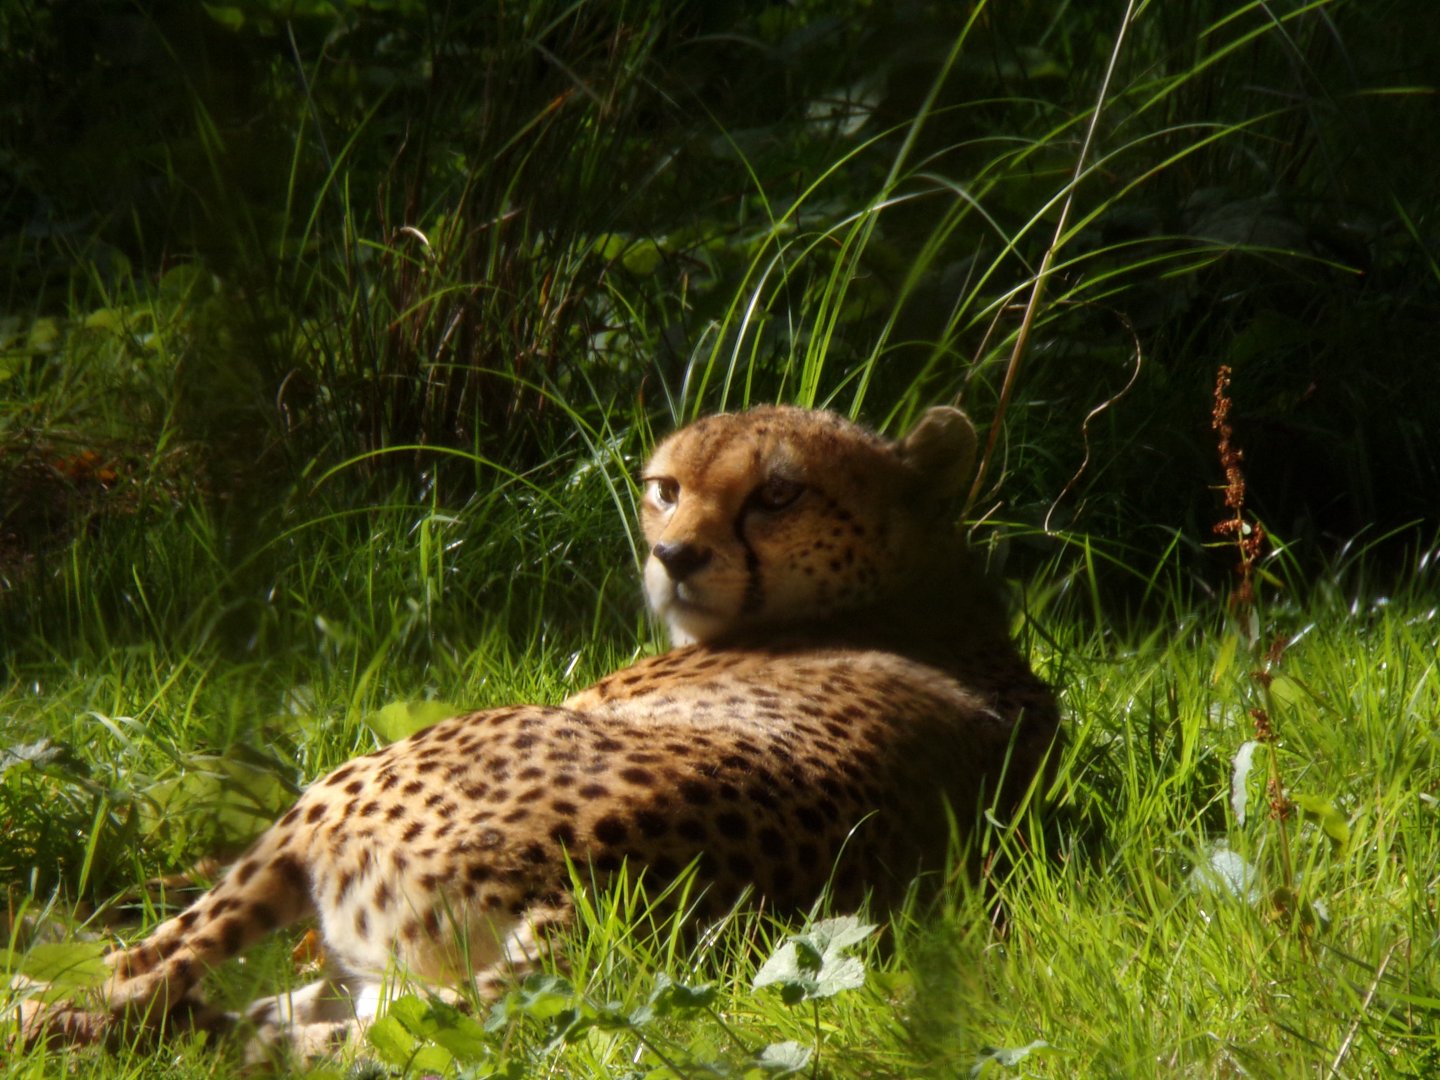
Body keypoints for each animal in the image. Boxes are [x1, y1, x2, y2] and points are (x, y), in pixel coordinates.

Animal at [12, 404, 1059, 1058]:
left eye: (779, 494)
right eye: (666, 488)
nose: (673, 556)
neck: (923, 588)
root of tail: (592, 888)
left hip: (336, 798)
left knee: (145, 973)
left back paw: (39, 1001)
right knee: (278, 1029)